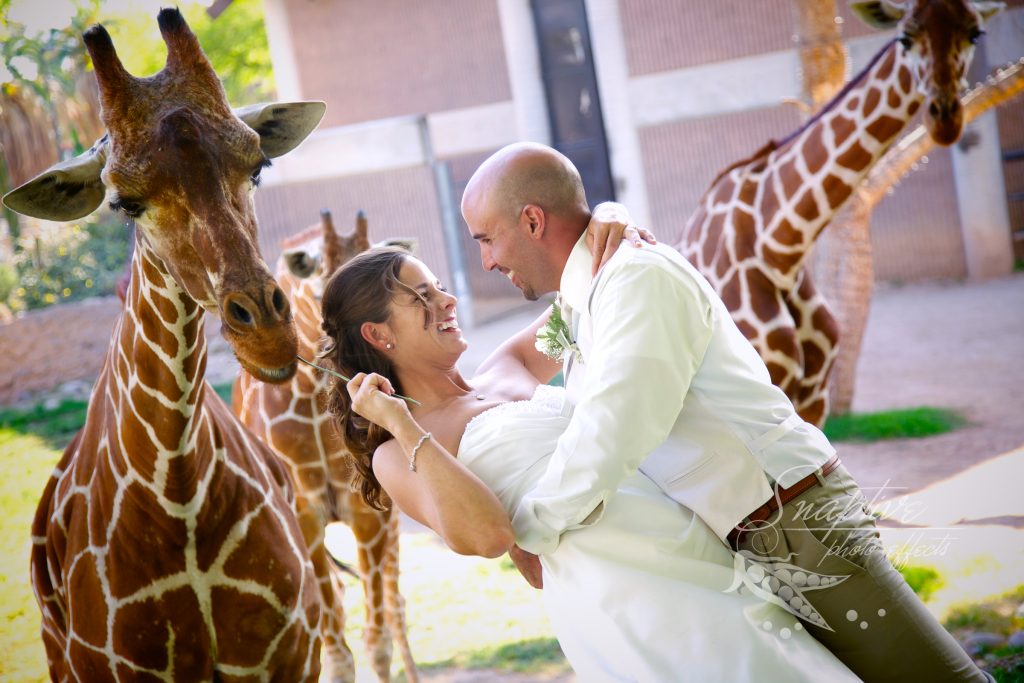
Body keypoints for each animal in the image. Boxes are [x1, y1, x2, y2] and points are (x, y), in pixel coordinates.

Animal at [234, 209, 417, 683]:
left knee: (396, 606)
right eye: (320, 294)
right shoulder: (305, 516)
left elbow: (376, 644)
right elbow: (336, 657)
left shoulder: (370, 515)